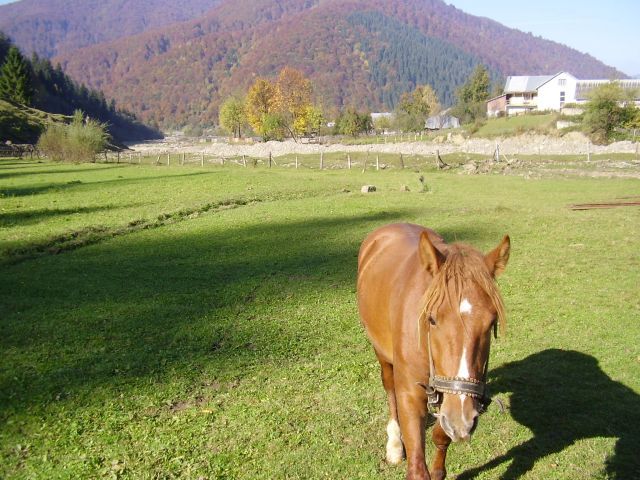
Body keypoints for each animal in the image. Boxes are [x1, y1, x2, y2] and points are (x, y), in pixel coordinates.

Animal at [356, 224, 510, 480]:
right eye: (432, 319)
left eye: (490, 323)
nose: (462, 419)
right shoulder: (410, 392)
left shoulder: (449, 396)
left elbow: (441, 435)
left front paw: (439, 470)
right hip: (381, 352)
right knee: (389, 388)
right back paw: (394, 444)